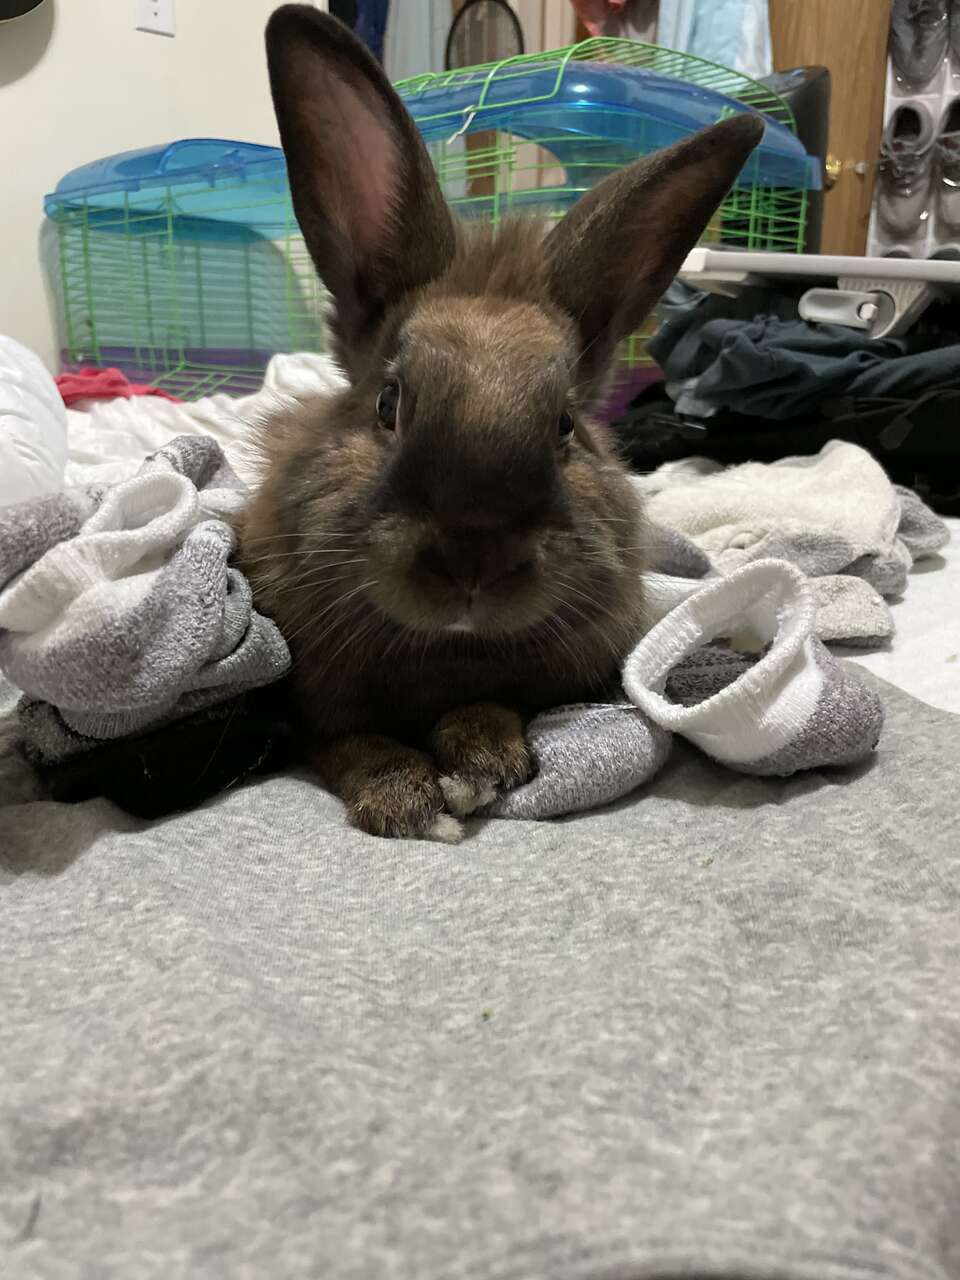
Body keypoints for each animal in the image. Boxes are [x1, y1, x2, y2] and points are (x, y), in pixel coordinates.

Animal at [239, 4, 763, 841]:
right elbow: (357, 742)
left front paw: (479, 764)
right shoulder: (316, 705)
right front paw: (408, 798)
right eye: (387, 404)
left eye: (565, 425)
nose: (471, 567)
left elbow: (492, 705)